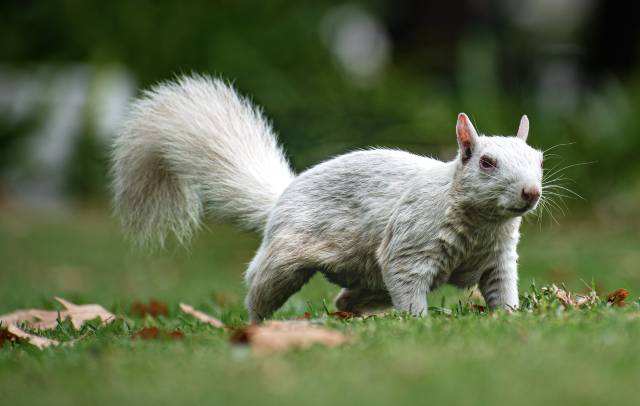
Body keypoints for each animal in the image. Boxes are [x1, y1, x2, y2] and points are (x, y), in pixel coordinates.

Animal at [112, 73, 544, 320]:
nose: (531, 192)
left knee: (348, 298)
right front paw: (419, 323)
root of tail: (282, 196)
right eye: (486, 162)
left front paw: (510, 318)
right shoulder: (410, 245)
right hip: (285, 260)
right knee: (259, 286)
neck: (482, 225)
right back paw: (256, 327)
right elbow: (408, 285)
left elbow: (502, 288)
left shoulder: (498, 259)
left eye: (539, 159)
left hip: (368, 278)